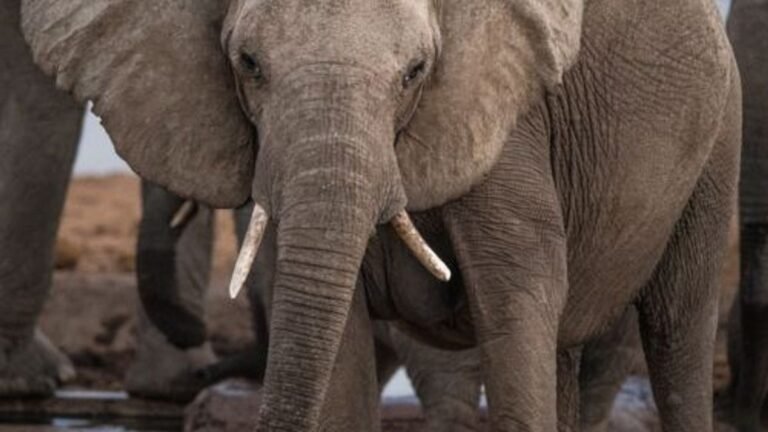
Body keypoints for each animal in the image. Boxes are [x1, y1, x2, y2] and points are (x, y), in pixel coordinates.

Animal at [19, 0, 740, 430]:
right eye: (248, 64)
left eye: (415, 72)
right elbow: (333, 332)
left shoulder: (506, 122)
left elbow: (517, 298)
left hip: (718, 143)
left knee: (676, 329)